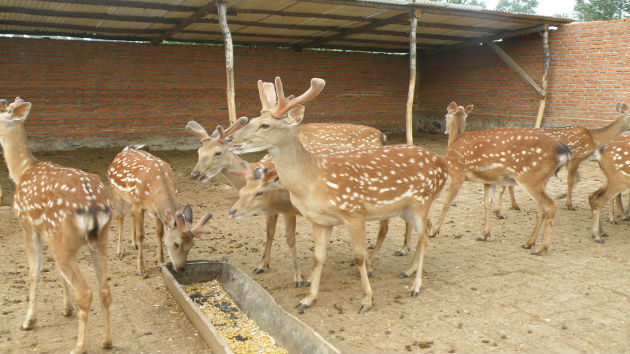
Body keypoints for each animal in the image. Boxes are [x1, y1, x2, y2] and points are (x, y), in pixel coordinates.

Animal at [0, 97, 112, 354]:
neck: (22, 172)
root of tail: (94, 205)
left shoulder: (27, 224)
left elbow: (34, 272)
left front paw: (28, 321)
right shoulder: (47, 232)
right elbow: (57, 273)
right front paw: (66, 308)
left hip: (65, 238)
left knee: (86, 291)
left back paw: (79, 346)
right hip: (98, 239)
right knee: (104, 289)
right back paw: (106, 341)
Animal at [107, 145, 214, 276]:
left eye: (192, 244)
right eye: (176, 244)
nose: (181, 269)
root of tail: (121, 153)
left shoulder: (155, 211)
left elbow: (160, 233)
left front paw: (160, 263)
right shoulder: (138, 205)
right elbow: (141, 234)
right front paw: (140, 268)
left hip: (131, 201)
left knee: (131, 216)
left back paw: (133, 244)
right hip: (116, 191)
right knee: (120, 217)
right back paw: (120, 251)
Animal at [227, 77, 450, 312]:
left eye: (265, 125)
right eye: (253, 119)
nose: (231, 139)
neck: (312, 181)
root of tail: (443, 165)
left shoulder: (355, 212)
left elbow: (359, 256)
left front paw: (367, 300)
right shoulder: (320, 220)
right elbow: (318, 257)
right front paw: (308, 299)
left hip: (421, 201)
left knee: (424, 235)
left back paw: (415, 286)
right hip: (405, 208)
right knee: (426, 229)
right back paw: (409, 271)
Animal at [432, 101, 576, 254]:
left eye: (445, 115)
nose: (444, 131)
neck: (455, 140)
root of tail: (564, 151)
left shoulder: (456, 172)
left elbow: (446, 203)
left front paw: (434, 231)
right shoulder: (489, 180)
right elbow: (487, 204)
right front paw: (484, 234)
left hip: (529, 177)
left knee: (551, 206)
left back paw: (541, 248)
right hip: (543, 180)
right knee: (542, 209)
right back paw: (529, 243)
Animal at [494, 101, 630, 214]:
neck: (594, 139)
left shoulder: (572, 161)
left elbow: (578, 178)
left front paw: (562, 196)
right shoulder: (576, 156)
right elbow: (570, 180)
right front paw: (569, 204)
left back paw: (514, 206)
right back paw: (499, 211)